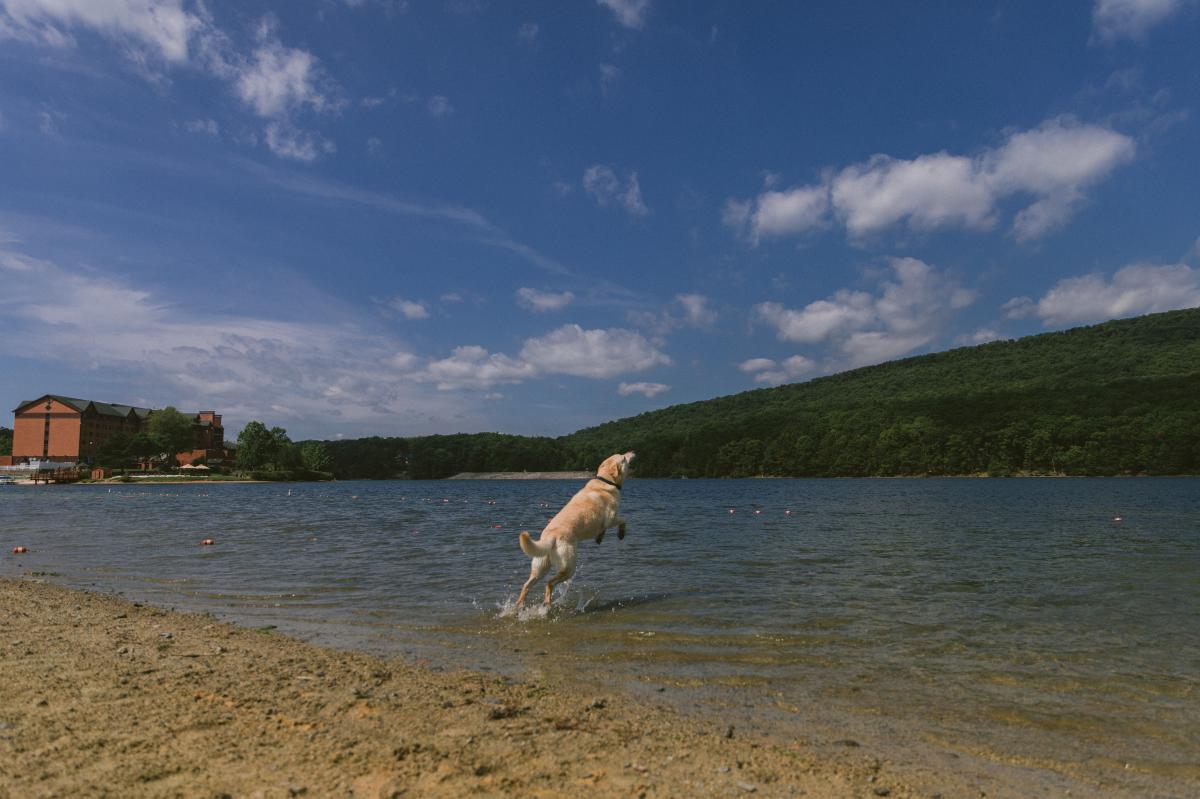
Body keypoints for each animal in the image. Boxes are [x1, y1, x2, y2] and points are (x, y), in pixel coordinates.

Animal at [513, 448, 633, 604]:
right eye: (623, 457)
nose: (632, 451)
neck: (606, 481)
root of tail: (550, 537)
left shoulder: (604, 523)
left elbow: (603, 530)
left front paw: (599, 538)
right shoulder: (611, 518)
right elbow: (624, 519)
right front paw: (621, 534)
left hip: (540, 566)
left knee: (526, 585)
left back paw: (519, 606)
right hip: (569, 566)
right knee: (549, 583)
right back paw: (547, 604)